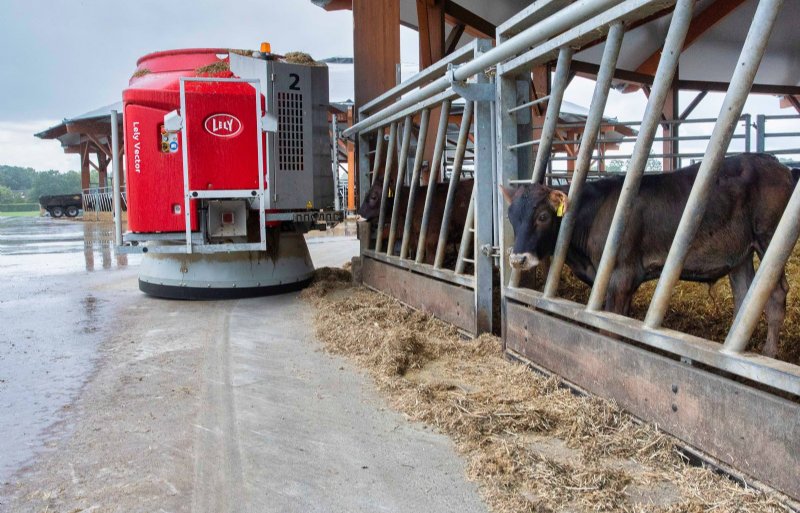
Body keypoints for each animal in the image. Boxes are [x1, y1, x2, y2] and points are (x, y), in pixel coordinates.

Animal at [504, 152, 792, 356]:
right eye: (511, 216)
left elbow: (611, 326)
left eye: (543, 216)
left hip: (768, 238)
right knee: (744, 296)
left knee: (776, 294)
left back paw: (769, 353)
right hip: (740, 254)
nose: (518, 259)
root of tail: (775, 162)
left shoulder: (621, 274)